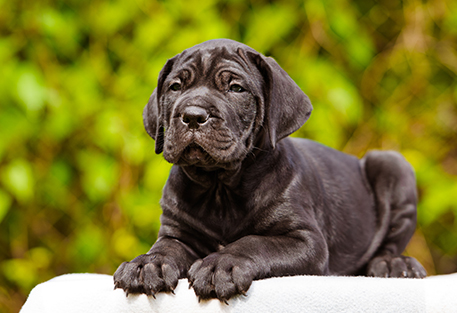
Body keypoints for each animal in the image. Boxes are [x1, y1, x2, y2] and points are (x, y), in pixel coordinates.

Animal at [112, 38, 426, 300]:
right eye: (175, 87)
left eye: (236, 88)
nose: (192, 115)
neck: (220, 189)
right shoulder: (177, 232)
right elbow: (166, 247)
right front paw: (147, 264)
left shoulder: (306, 240)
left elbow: (254, 243)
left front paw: (220, 266)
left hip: (392, 165)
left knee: (389, 243)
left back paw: (393, 263)